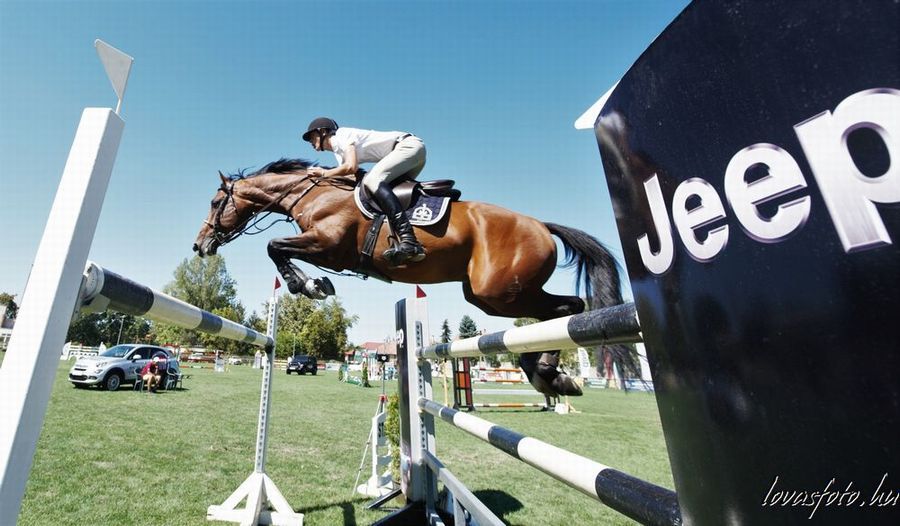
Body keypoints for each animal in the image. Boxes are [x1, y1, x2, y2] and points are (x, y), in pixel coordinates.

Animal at [193, 159, 628, 398]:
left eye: (215, 202)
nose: (201, 245)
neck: (313, 194)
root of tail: (541, 225)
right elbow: (278, 248)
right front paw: (314, 284)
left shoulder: (327, 244)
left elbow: (275, 246)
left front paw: (309, 285)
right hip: (490, 296)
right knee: (555, 315)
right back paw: (547, 375)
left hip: (500, 292)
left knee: (569, 308)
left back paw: (549, 374)